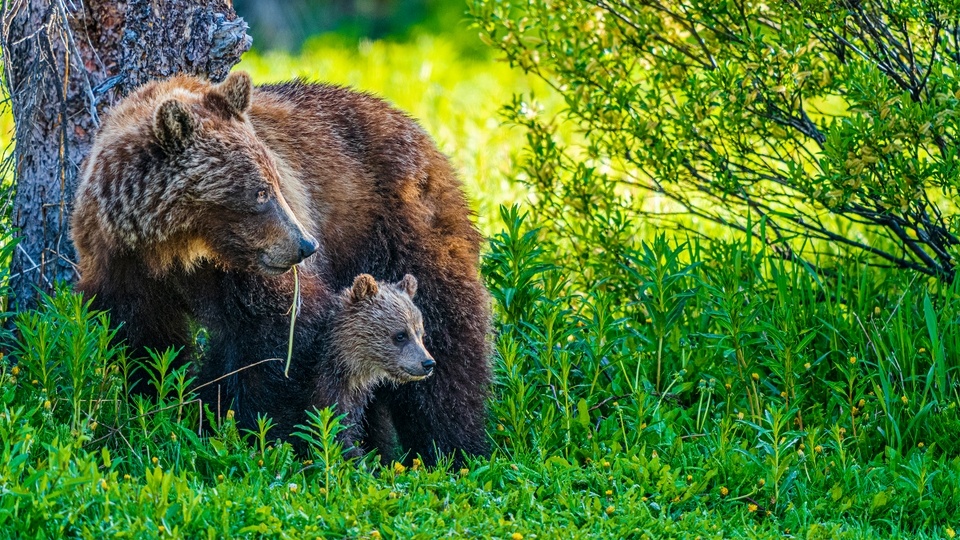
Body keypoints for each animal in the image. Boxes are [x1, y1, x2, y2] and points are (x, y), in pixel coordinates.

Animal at [71, 70, 492, 464]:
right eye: (260, 192)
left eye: (275, 180)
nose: (305, 244)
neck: (176, 249)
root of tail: (417, 128)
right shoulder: (123, 267)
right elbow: (144, 343)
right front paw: (158, 403)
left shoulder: (246, 271)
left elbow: (281, 334)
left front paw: (265, 434)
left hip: (397, 227)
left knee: (448, 334)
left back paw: (455, 448)